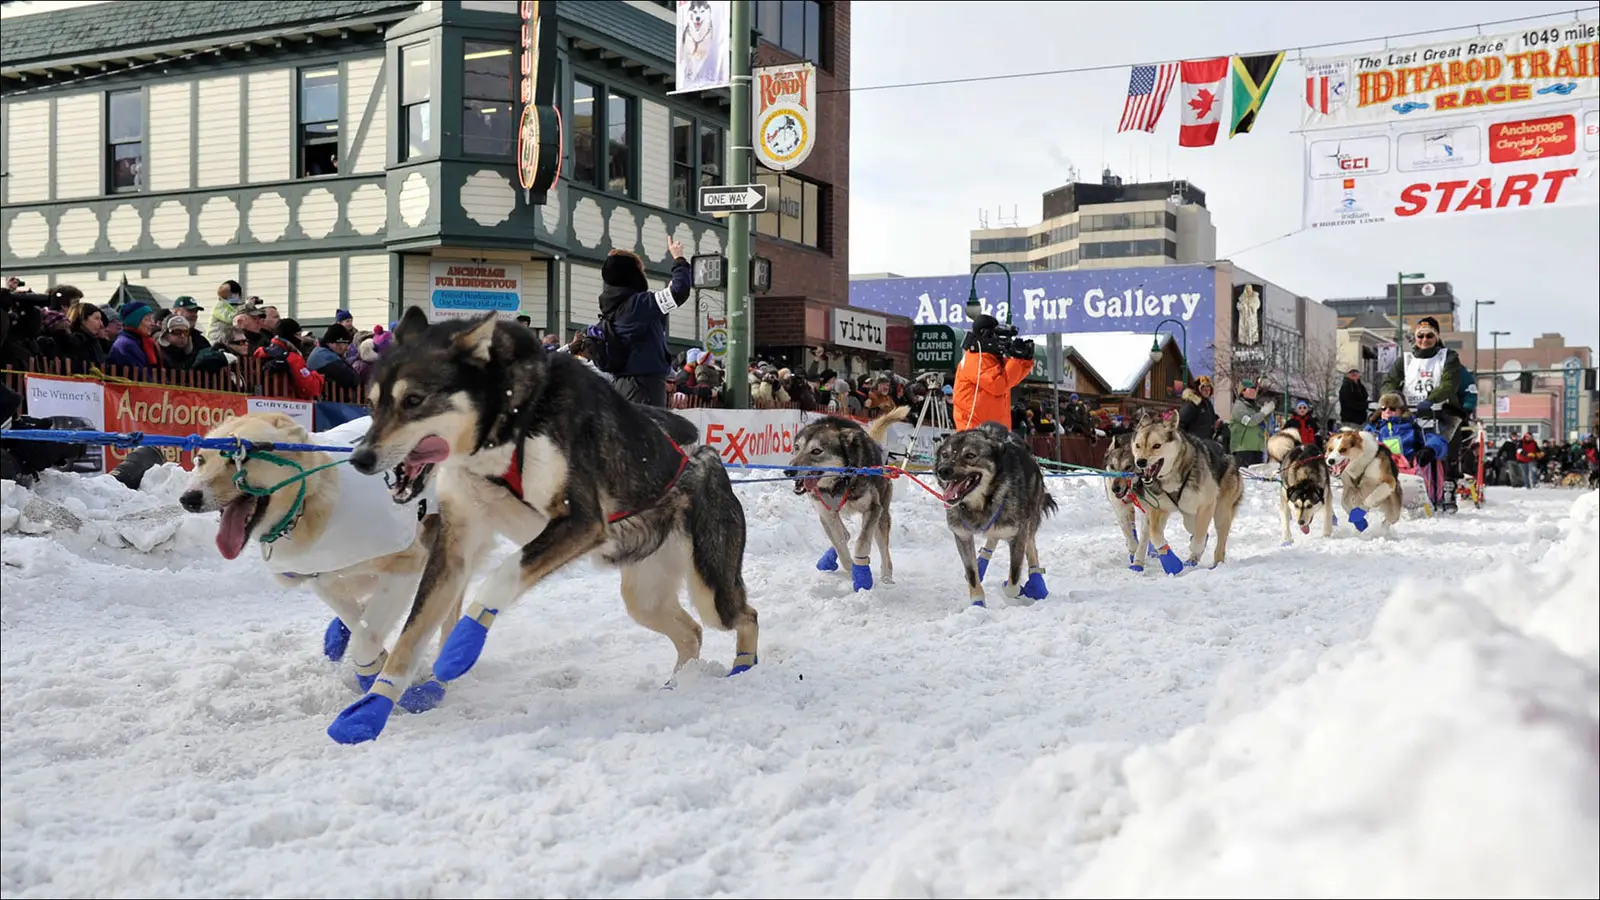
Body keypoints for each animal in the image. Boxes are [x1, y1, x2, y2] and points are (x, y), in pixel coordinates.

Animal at [178, 412, 454, 713]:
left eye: (242, 457)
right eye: (200, 460)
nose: (188, 498)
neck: (305, 506)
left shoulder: (407, 563)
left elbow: (365, 637)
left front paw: (374, 668)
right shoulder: (322, 578)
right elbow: (356, 618)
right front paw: (365, 648)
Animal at [327, 308, 759, 745]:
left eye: (413, 400)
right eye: (372, 403)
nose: (360, 458)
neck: (510, 422)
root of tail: (708, 457)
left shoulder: (580, 522)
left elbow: (500, 577)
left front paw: (461, 647)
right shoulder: (454, 549)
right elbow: (409, 638)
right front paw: (370, 710)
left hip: (710, 589)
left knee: (745, 615)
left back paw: (743, 669)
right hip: (645, 596)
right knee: (691, 632)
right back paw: (678, 684)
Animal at [785, 404, 910, 591]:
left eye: (816, 451)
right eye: (797, 447)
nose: (788, 471)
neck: (840, 481)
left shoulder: (873, 508)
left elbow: (861, 544)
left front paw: (862, 576)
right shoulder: (826, 514)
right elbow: (841, 545)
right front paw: (853, 571)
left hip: (881, 516)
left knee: (884, 551)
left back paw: (887, 578)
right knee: (845, 534)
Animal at [932, 422, 1058, 606]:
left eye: (970, 455)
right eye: (945, 455)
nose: (942, 470)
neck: (980, 504)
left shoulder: (1019, 534)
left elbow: (1013, 580)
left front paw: (1016, 587)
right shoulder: (962, 535)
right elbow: (972, 574)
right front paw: (977, 602)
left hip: (1029, 518)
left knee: (1031, 547)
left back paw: (1036, 584)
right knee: (993, 538)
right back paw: (982, 563)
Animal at [1127, 414, 1244, 573]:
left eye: (1156, 445)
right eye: (1138, 445)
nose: (1141, 462)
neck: (1172, 476)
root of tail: (1226, 452)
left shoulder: (1207, 505)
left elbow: (1199, 538)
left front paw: (1194, 549)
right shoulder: (1158, 509)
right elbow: (1155, 534)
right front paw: (1171, 561)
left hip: (1220, 512)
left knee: (1218, 540)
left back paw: (1216, 564)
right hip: (1188, 516)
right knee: (1196, 529)